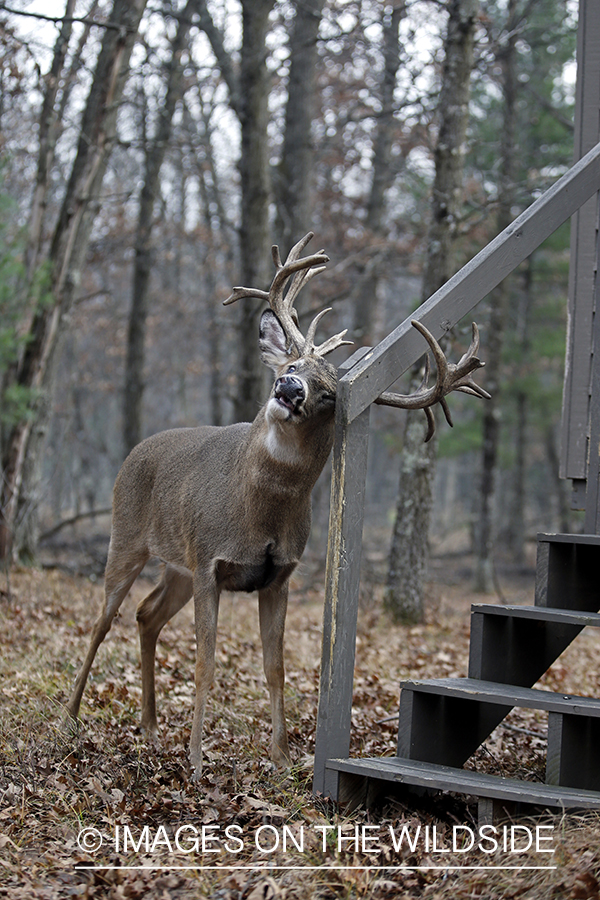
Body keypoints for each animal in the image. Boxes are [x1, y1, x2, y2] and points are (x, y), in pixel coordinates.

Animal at [64, 234, 488, 780]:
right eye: (290, 366)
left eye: (328, 394)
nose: (289, 390)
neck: (258, 513)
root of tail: (134, 452)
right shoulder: (209, 562)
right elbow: (205, 664)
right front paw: (197, 762)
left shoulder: (278, 575)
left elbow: (276, 668)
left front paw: (283, 759)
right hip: (127, 537)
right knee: (102, 621)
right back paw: (71, 718)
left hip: (176, 566)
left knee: (146, 615)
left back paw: (152, 729)